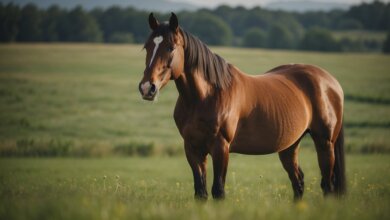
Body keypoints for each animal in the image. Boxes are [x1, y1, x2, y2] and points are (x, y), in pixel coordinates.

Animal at [139, 12, 346, 200]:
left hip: (325, 143)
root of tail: (331, 82)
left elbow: (218, 191)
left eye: (171, 47)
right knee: (298, 182)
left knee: (327, 185)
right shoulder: (192, 148)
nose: (147, 88)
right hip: (289, 145)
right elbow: (201, 192)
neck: (205, 96)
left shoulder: (221, 148)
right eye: (147, 47)